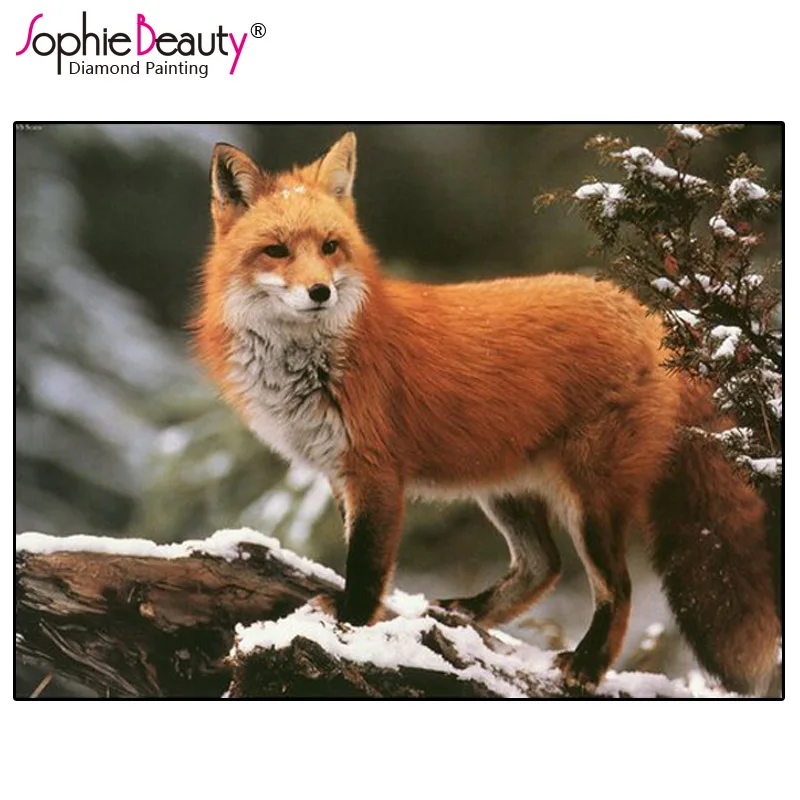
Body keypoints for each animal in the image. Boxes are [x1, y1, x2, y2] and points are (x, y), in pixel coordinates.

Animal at [193, 132, 780, 694]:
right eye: (276, 251)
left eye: (330, 246)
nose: (320, 291)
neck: (314, 361)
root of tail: (651, 316)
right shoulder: (340, 473)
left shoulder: (375, 472)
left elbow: (366, 566)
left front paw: (352, 626)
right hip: (504, 489)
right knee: (543, 566)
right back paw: (468, 614)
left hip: (591, 502)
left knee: (618, 586)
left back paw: (588, 666)